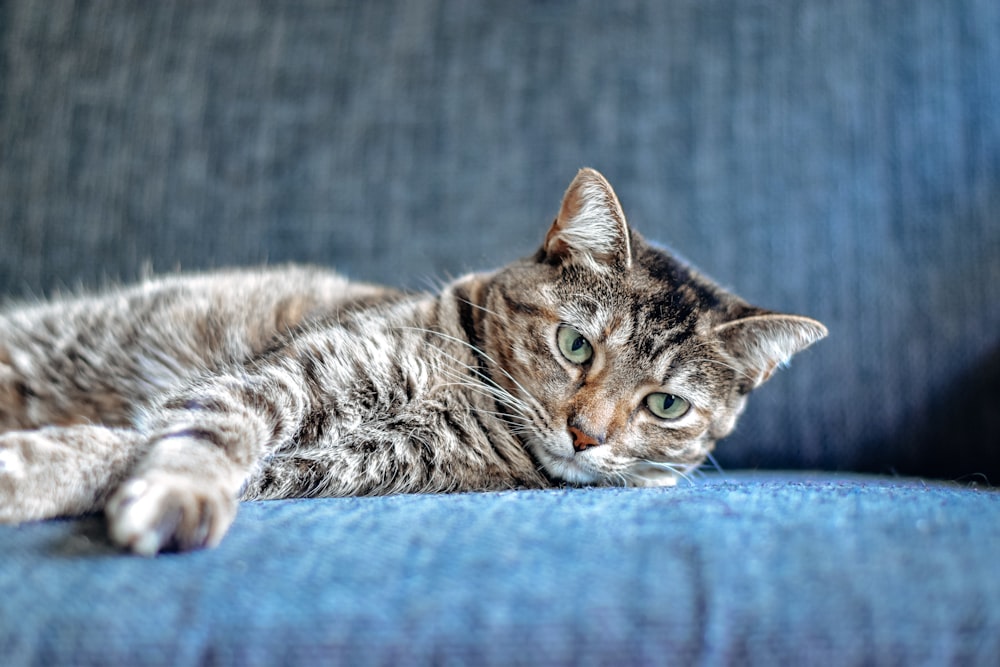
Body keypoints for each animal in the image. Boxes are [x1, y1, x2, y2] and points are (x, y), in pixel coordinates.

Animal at [0, 170, 828, 556]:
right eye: (576, 345)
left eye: (666, 405)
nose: (587, 434)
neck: (465, 397)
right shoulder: (282, 377)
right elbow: (207, 430)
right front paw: (178, 492)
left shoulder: (331, 468)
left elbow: (126, 446)